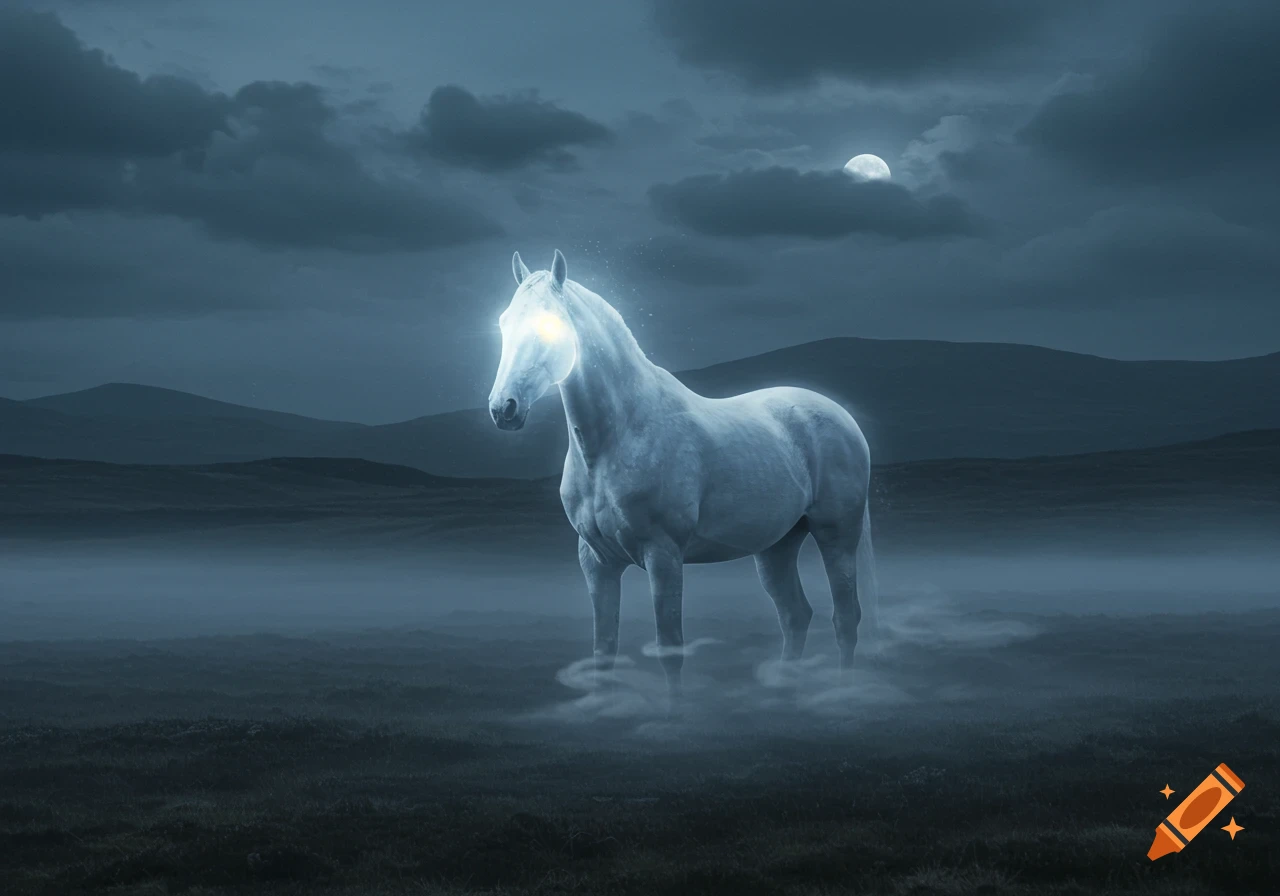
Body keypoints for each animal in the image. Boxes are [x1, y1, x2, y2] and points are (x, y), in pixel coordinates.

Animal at [487, 249, 877, 700]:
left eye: (550, 324)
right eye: (503, 323)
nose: (504, 408)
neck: (619, 437)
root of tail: (841, 415)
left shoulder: (664, 556)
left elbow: (670, 648)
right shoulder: (597, 562)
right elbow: (604, 649)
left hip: (837, 536)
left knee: (845, 618)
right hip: (776, 546)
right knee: (796, 615)